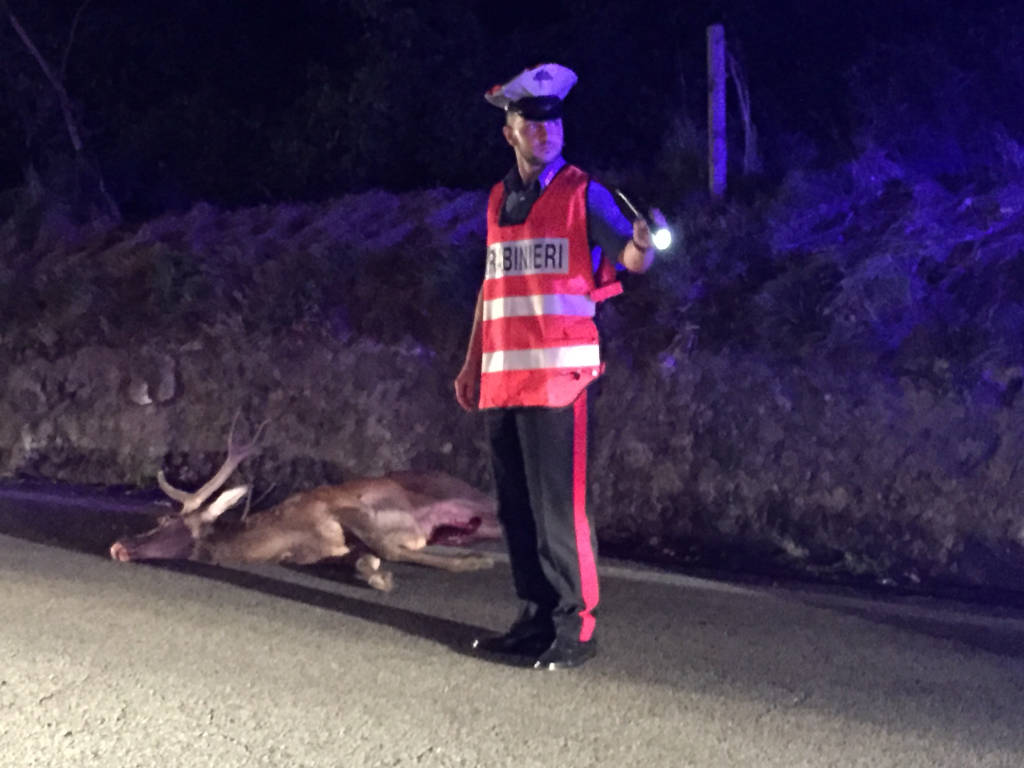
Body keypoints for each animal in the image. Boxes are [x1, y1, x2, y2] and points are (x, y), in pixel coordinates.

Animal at [108, 423, 499, 593]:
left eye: (164, 520)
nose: (117, 546)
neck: (286, 536)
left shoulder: (341, 506)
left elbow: (389, 549)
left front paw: (475, 563)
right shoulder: (329, 551)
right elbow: (367, 559)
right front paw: (379, 576)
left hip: (465, 497)